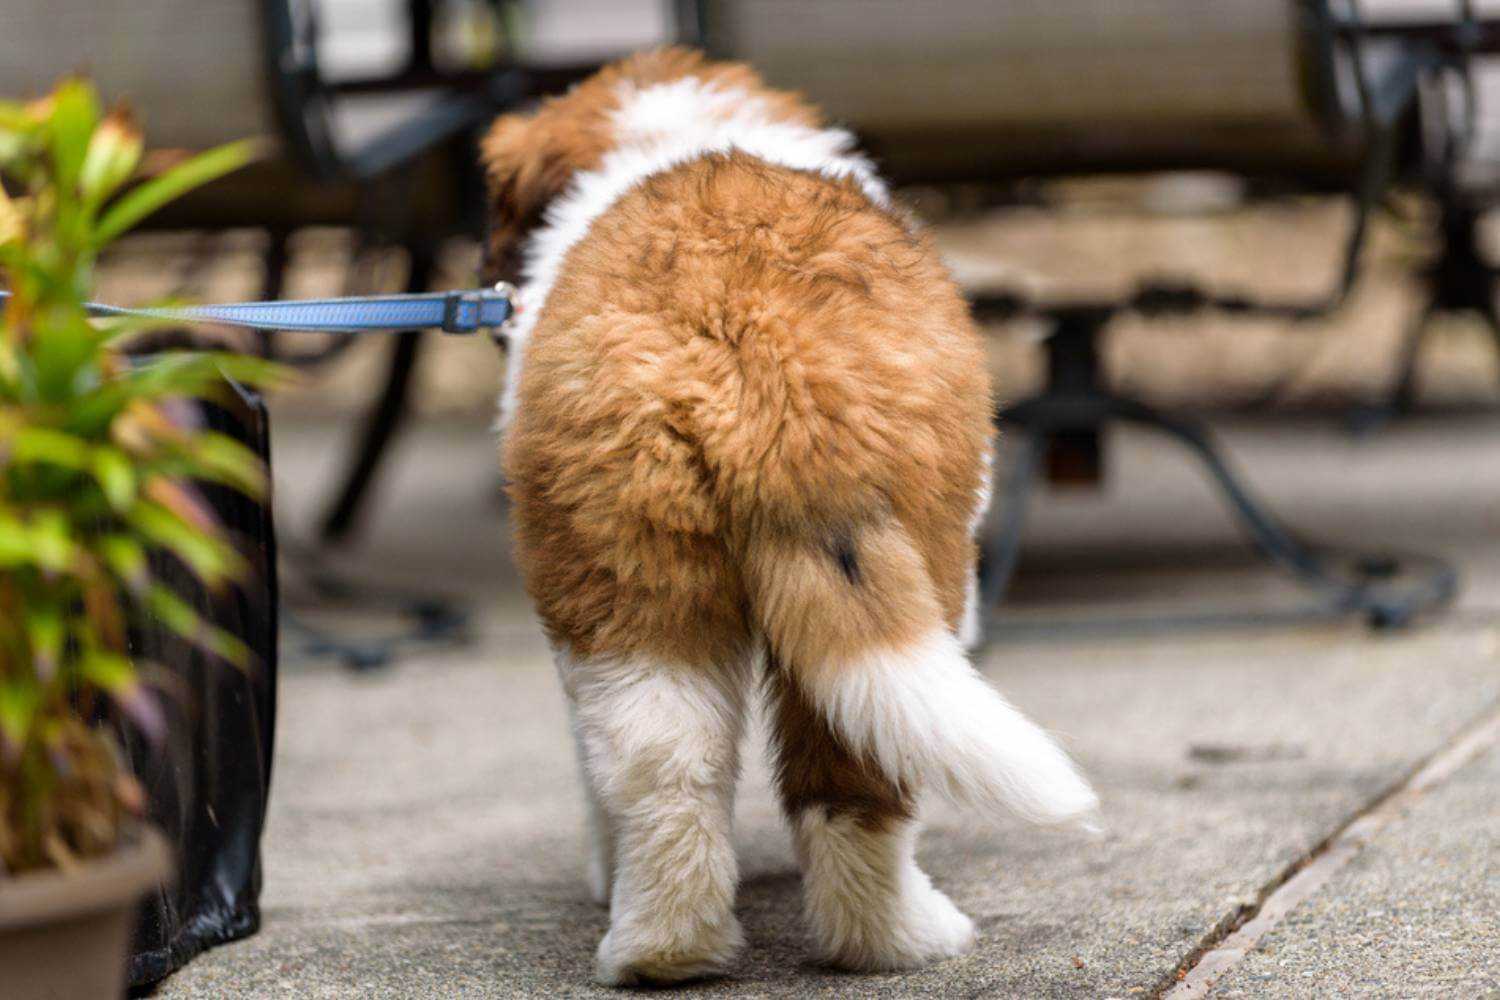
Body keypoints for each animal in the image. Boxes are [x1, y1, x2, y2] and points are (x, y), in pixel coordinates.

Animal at [483, 46, 1104, 983]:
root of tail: (753, 343)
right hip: (915, 559)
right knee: (847, 775)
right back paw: (904, 938)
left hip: (627, 570)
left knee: (669, 764)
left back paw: (668, 951)